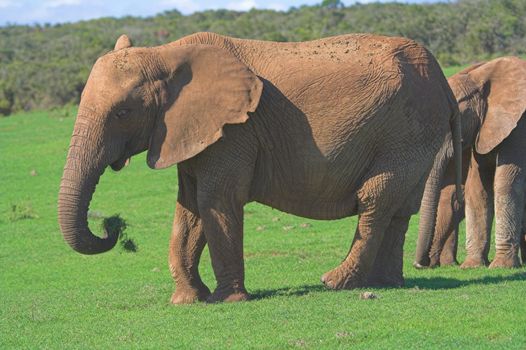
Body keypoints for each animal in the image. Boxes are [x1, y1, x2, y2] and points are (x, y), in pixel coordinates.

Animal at [57, 32, 462, 304]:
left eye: (123, 113)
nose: (112, 227)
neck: (166, 54)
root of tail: (443, 79)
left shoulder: (234, 131)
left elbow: (216, 202)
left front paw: (226, 300)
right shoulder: (191, 133)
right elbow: (189, 210)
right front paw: (189, 300)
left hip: (406, 131)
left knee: (375, 200)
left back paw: (336, 282)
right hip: (415, 136)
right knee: (399, 208)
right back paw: (384, 284)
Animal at [416, 56, 526, 268]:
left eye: (453, 121)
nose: (420, 264)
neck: (480, 79)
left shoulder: (519, 125)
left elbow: (507, 183)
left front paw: (500, 266)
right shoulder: (483, 127)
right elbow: (477, 186)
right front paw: (473, 265)